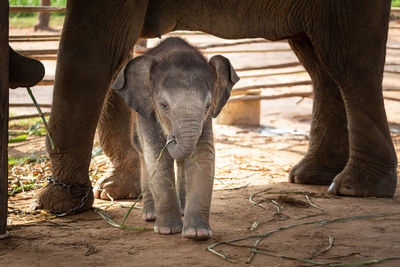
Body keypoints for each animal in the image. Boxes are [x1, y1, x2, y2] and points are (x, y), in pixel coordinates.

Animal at [31, 0, 396, 215]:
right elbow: (117, 56)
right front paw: (116, 192)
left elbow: (90, 51)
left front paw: (56, 205)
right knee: (318, 61)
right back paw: (312, 176)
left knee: (348, 60)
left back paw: (354, 188)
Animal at [111, 36, 239, 240]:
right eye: (163, 105)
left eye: (208, 105)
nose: (171, 137)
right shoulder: (147, 113)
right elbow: (157, 156)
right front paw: (168, 230)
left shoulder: (205, 120)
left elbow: (203, 155)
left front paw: (197, 234)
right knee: (142, 154)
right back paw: (151, 215)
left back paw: (183, 210)